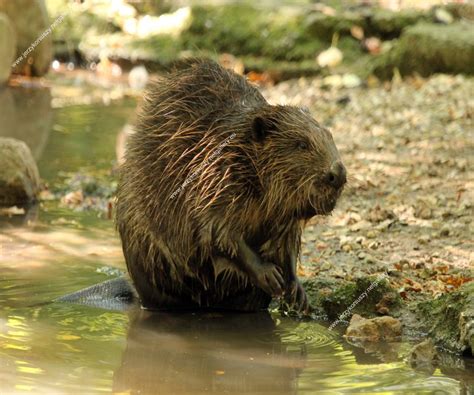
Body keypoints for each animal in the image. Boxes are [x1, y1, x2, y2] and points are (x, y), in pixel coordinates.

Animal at [115, 59, 344, 312]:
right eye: (301, 144)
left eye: (329, 136)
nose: (338, 174)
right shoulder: (214, 177)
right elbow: (217, 232)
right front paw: (270, 275)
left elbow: (288, 244)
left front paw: (297, 292)